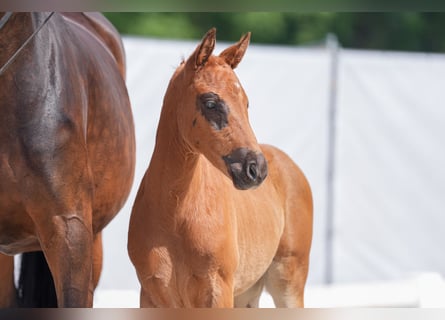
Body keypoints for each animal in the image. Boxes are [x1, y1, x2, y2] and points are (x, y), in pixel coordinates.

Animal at [126, 29, 310, 308]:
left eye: (246, 103)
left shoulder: (217, 291)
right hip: (247, 294)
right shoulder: (151, 295)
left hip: (287, 284)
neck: (175, 213)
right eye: (211, 102)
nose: (256, 169)